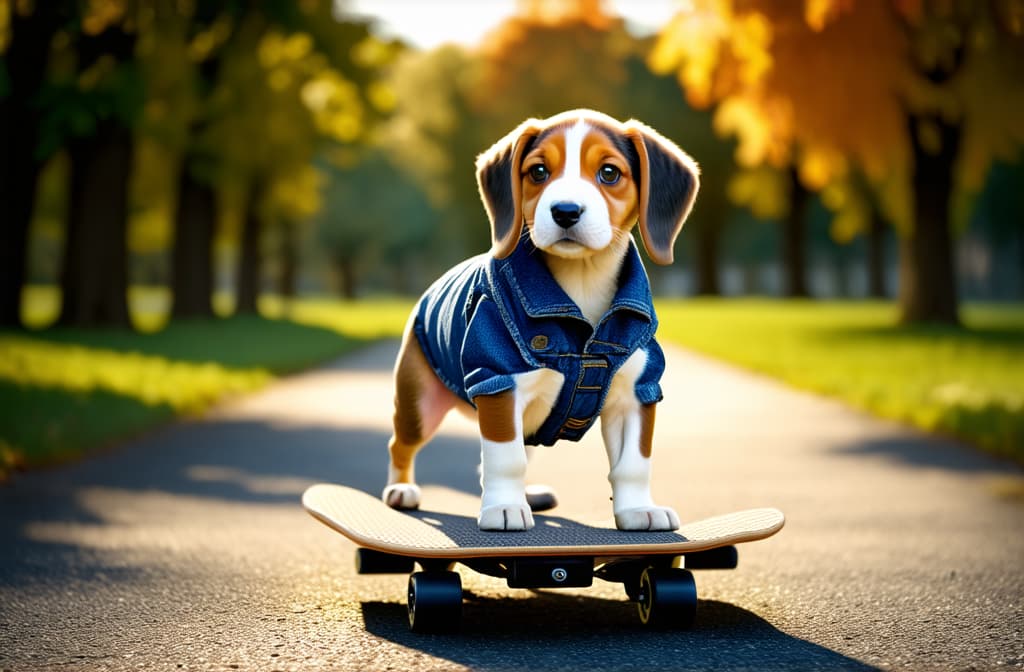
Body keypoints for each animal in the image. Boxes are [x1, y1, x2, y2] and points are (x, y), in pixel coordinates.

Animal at [382, 109, 696, 528]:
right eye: (538, 171)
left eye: (609, 173)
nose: (565, 211)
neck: (581, 280)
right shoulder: (498, 383)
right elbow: (505, 456)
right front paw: (502, 508)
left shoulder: (637, 392)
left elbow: (633, 463)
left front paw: (638, 510)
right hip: (420, 403)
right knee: (401, 443)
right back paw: (401, 489)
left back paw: (529, 495)